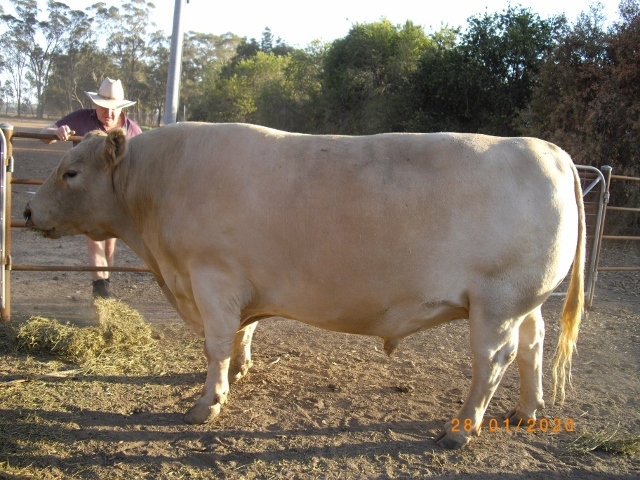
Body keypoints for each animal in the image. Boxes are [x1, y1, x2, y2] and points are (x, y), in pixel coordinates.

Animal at [24, 122, 585, 449]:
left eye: (71, 172)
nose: (27, 212)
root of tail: (547, 148)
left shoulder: (211, 276)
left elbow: (215, 344)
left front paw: (207, 403)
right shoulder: (238, 284)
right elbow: (242, 333)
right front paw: (240, 371)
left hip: (497, 304)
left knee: (492, 361)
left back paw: (460, 430)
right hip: (524, 302)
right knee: (533, 347)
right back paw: (526, 412)